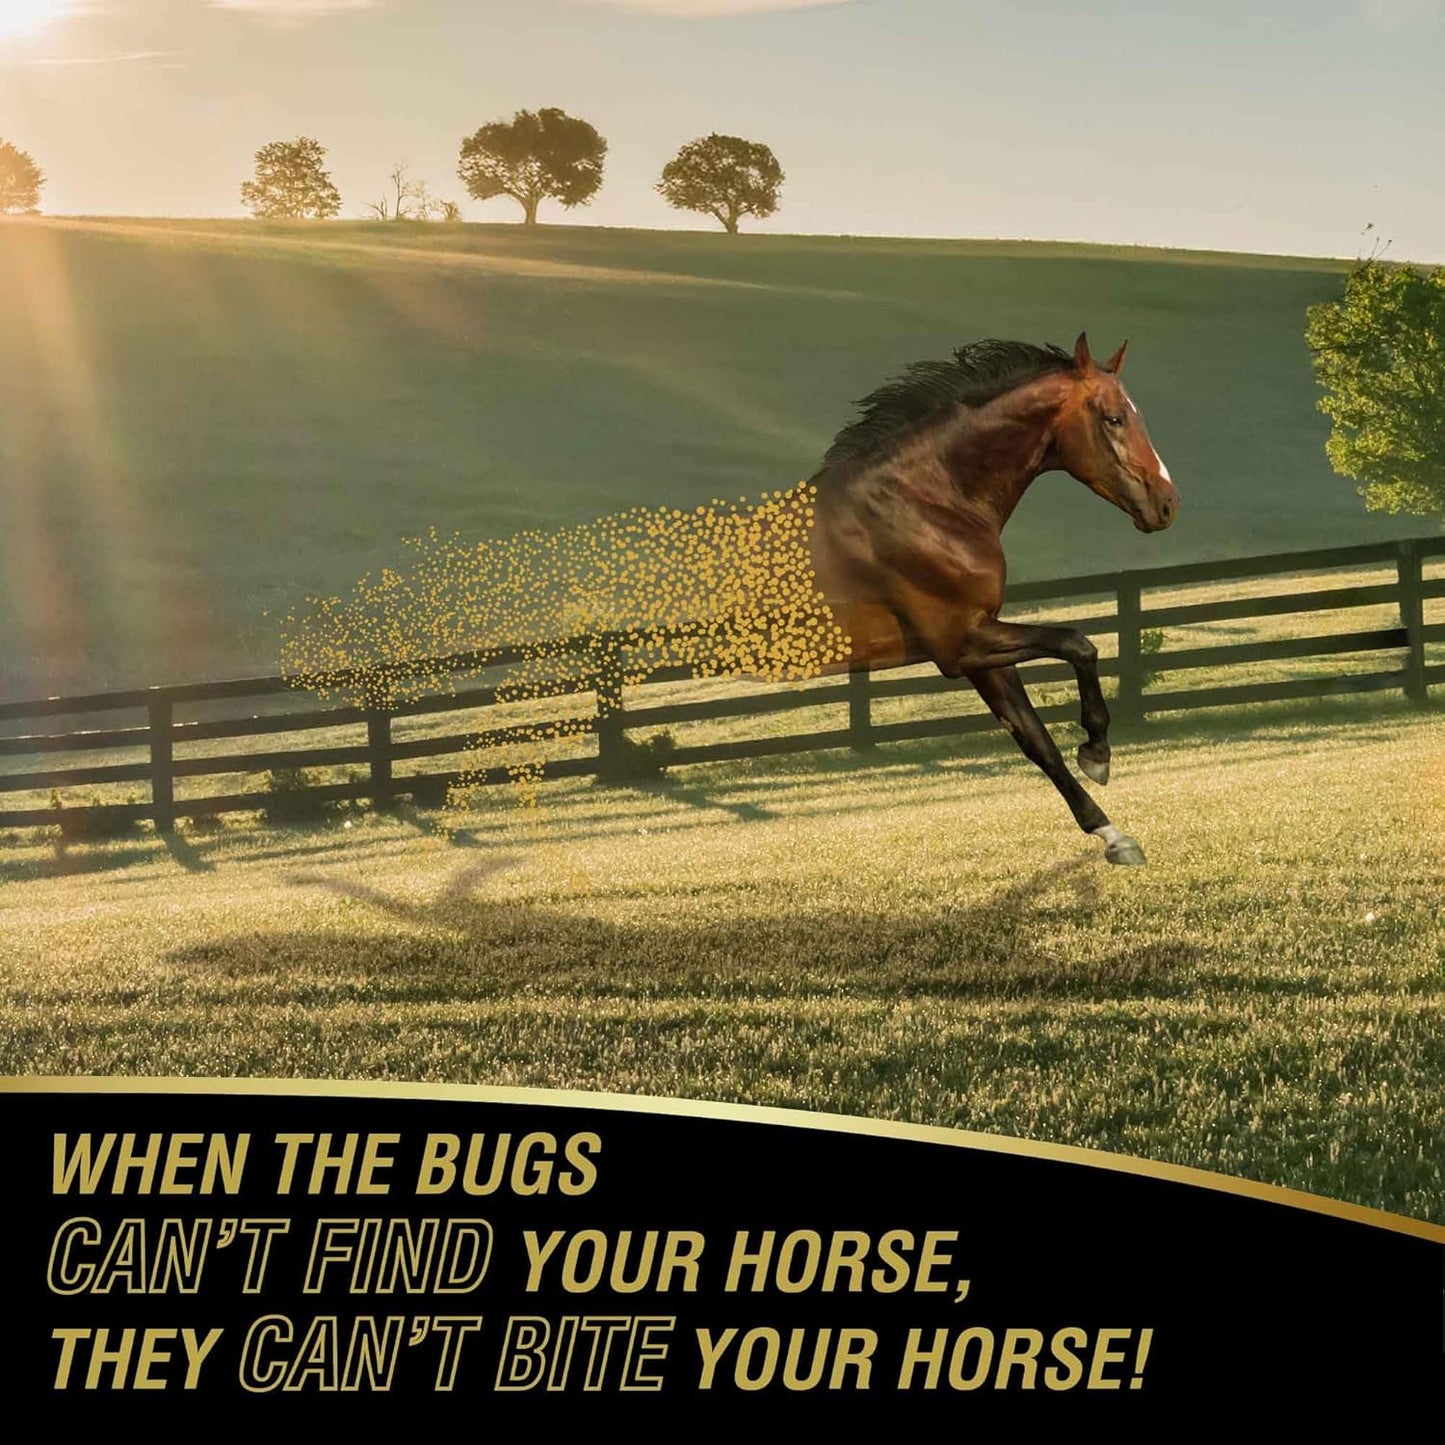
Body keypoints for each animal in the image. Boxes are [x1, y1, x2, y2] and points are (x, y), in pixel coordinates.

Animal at [808, 332, 1179, 865]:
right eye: (1113, 418)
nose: (1166, 504)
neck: (924, 502)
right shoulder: (960, 645)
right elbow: (1079, 643)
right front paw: (1097, 754)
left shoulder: (983, 651)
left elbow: (1036, 740)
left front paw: (1115, 837)